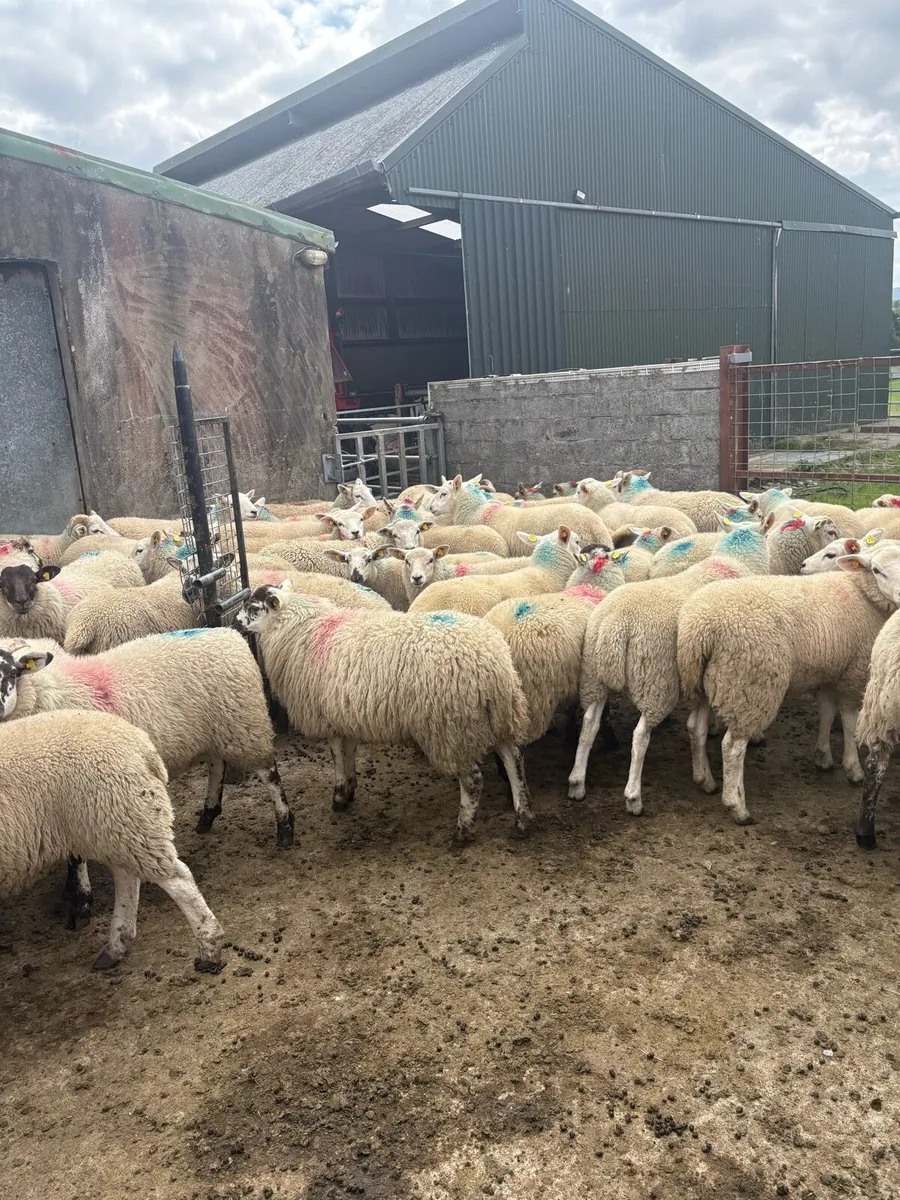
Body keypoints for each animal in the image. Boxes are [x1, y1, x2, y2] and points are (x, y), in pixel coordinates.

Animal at [0, 708, 224, 972]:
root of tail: (142, 745)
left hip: (120, 817)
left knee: (178, 879)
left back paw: (209, 947)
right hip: (114, 827)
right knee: (127, 878)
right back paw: (116, 945)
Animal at [235, 586, 532, 841]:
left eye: (253, 607)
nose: (235, 623)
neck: (303, 628)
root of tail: (492, 662)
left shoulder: (328, 716)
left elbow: (336, 754)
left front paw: (339, 795)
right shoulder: (346, 712)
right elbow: (349, 750)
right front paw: (350, 789)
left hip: (450, 727)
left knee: (472, 779)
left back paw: (463, 830)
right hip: (500, 714)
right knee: (514, 760)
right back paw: (523, 818)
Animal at [567, 522, 770, 813]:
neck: (733, 563)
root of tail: (614, 625)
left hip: (595, 676)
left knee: (589, 725)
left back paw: (576, 783)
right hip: (656, 680)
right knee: (640, 736)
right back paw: (633, 798)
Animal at [675, 545, 900, 825]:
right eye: (877, 570)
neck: (862, 593)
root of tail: (699, 629)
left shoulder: (827, 671)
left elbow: (827, 713)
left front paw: (823, 757)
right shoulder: (852, 673)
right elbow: (849, 722)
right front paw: (853, 768)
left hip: (706, 681)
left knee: (696, 728)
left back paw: (704, 779)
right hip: (749, 684)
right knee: (733, 747)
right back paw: (737, 806)